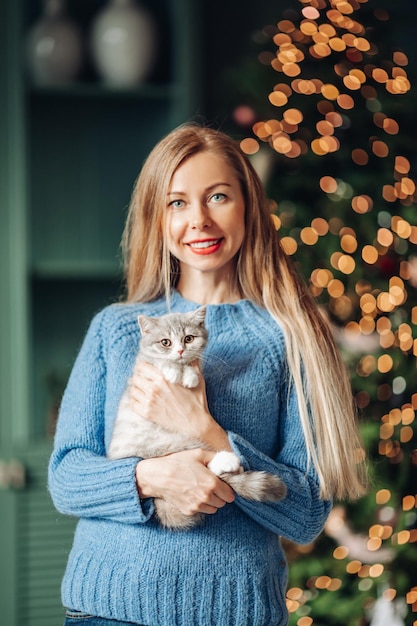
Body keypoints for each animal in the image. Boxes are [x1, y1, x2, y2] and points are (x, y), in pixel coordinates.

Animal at [107, 306, 286, 528]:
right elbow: (162, 362)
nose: (180, 351)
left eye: (189, 338)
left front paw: (190, 375)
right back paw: (227, 460)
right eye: (165, 342)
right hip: (166, 445)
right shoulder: (142, 367)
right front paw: (174, 370)